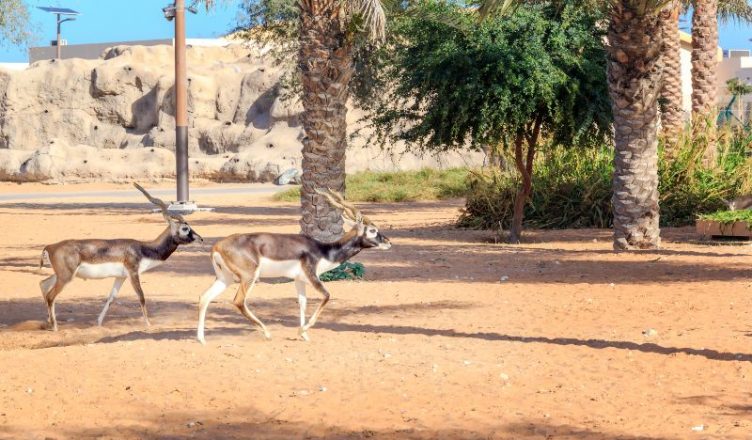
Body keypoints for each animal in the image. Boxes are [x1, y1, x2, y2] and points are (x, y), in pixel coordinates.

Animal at [38, 182, 203, 330]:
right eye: (185, 228)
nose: (201, 239)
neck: (143, 248)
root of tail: (50, 246)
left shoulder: (121, 277)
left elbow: (111, 298)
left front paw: (98, 322)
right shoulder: (133, 273)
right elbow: (141, 296)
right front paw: (149, 324)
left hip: (60, 275)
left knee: (43, 284)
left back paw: (47, 322)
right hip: (66, 277)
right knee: (51, 295)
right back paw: (55, 327)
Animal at [197, 189, 390, 344]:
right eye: (373, 230)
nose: (388, 242)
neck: (323, 251)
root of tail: (217, 246)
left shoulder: (299, 280)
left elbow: (302, 303)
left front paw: (303, 335)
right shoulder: (312, 275)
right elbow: (327, 296)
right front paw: (302, 331)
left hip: (225, 278)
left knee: (204, 298)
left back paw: (201, 339)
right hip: (249, 277)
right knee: (238, 301)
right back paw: (267, 333)